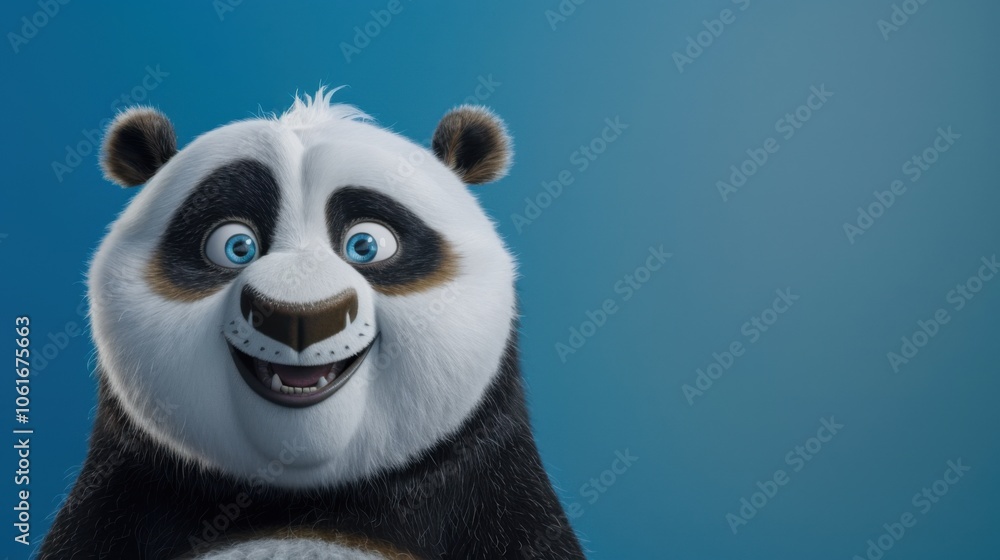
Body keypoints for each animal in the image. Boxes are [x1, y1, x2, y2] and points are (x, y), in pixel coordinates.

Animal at [39, 88, 585, 559]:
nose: (299, 318)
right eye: (235, 246)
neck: (305, 498)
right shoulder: (112, 507)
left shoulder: (504, 506)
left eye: (367, 244)